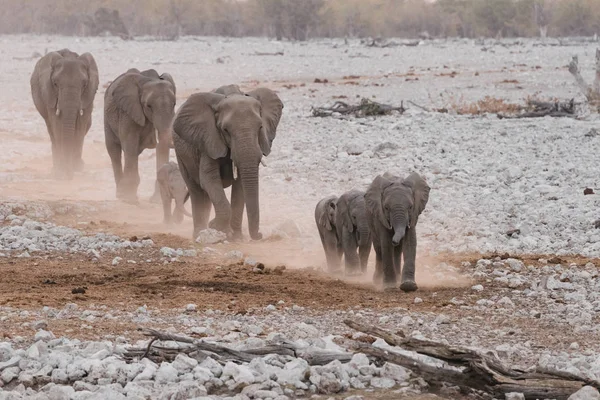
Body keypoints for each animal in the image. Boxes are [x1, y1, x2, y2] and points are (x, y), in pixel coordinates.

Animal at [29, 48, 99, 180]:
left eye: (84, 84)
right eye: (55, 83)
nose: (68, 175)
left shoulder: (89, 94)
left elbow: (81, 123)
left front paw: (76, 168)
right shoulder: (49, 93)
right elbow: (57, 123)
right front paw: (61, 171)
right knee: (51, 129)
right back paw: (55, 167)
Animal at [103, 68, 176, 203]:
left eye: (174, 104)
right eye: (148, 106)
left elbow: (162, 146)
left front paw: (157, 201)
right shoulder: (128, 112)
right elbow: (130, 142)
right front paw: (128, 199)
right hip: (107, 120)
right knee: (114, 151)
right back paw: (121, 195)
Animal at [172, 85, 284, 239]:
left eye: (260, 127)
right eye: (225, 130)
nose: (260, 235)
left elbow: (240, 185)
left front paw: (236, 237)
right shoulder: (209, 139)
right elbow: (209, 178)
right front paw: (216, 227)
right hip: (181, 154)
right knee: (196, 191)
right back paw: (199, 234)